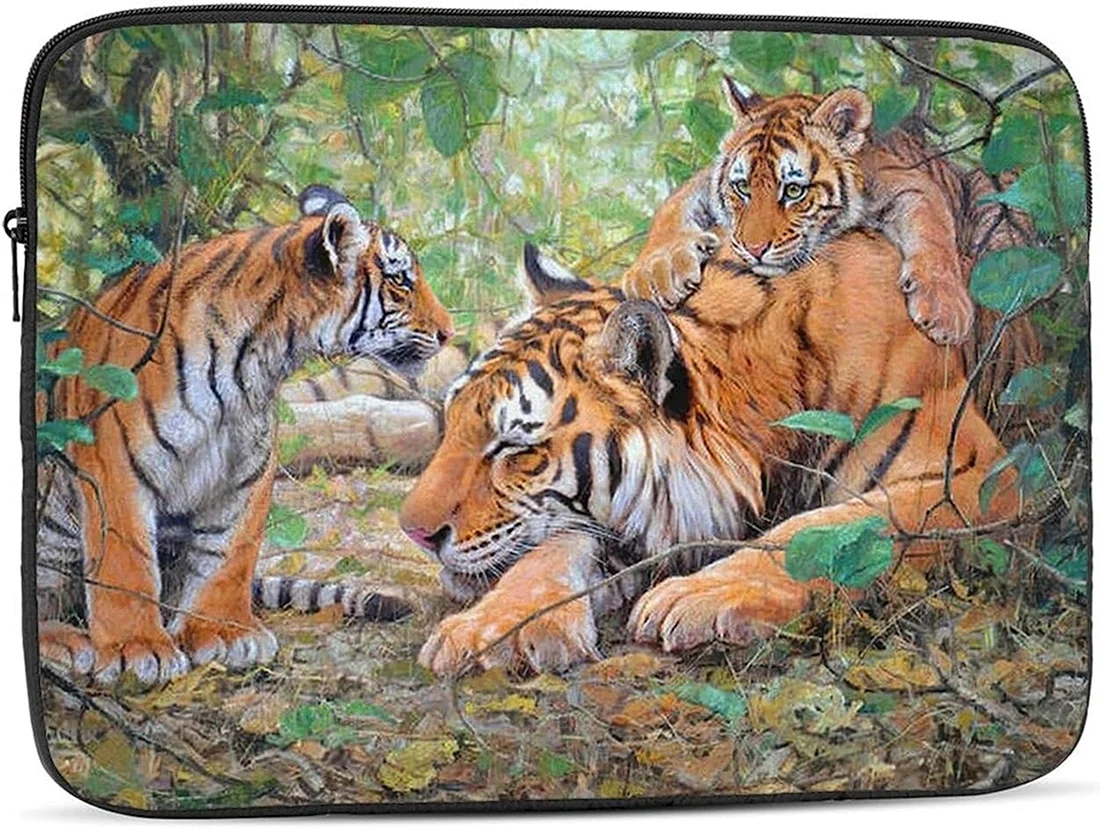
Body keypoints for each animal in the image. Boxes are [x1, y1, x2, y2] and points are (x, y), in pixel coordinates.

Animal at [36, 184, 454, 687]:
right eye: (401, 282)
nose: (449, 333)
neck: (259, 358)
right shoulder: (115, 461)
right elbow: (127, 560)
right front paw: (136, 650)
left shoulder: (247, 463)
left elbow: (230, 549)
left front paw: (221, 633)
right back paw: (65, 641)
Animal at [399, 235, 1017, 676]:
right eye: (453, 420)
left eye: (514, 447)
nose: (414, 533)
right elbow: (548, 555)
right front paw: (488, 629)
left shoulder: (974, 477)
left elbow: (826, 525)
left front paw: (699, 595)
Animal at [623, 78, 975, 346]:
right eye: (743, 188)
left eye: (794, 191)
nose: (753, 249)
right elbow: (670, 209)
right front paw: (654, 275)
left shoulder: (908, 183)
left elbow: (935, 230)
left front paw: (945, 310)